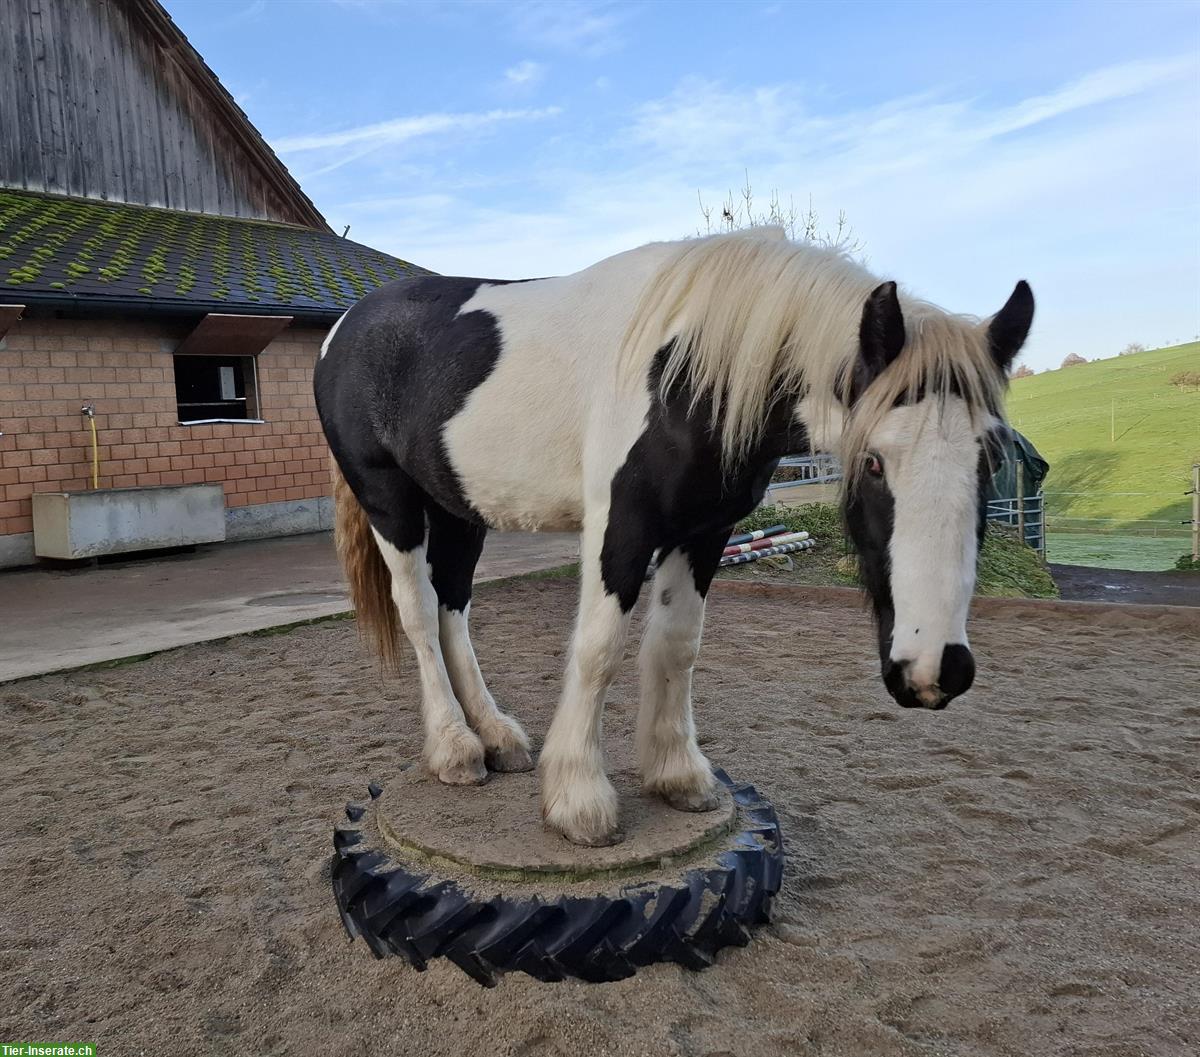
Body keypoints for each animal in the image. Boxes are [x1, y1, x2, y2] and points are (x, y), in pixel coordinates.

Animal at [314, 226, 1036, 844]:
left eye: (991, 458)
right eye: (875, 461)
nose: (935, 669)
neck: (687, 374)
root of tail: (345, 327)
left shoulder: (705, 530)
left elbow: (676, 645)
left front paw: (678, 775)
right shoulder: (624, 525)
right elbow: (599, 649)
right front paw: (579, 800)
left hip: (460, 510)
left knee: (453, 609)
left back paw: (494, 735)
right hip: (392, 505)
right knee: (417, 613)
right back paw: (454, 748)